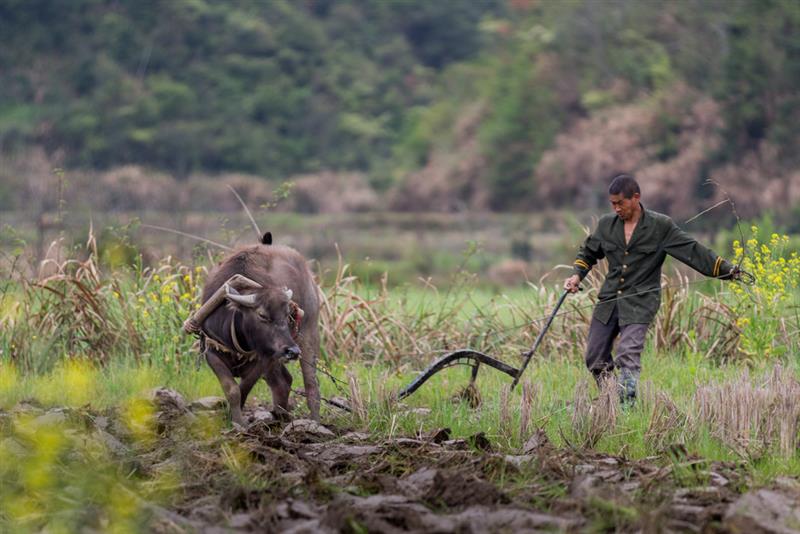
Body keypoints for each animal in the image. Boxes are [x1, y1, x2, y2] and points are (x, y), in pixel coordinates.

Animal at [198, 244, 320, 428]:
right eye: (262, 315)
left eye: (287, 315)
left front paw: (237, 420)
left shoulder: (264, 360)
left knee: (311, 383)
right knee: (284, 381)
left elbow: (243, 387)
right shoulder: (212, 353)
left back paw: (314, 419)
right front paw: (233, 419)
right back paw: (280, 415)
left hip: (308, 333)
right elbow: (232, 390)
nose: (292, 351)